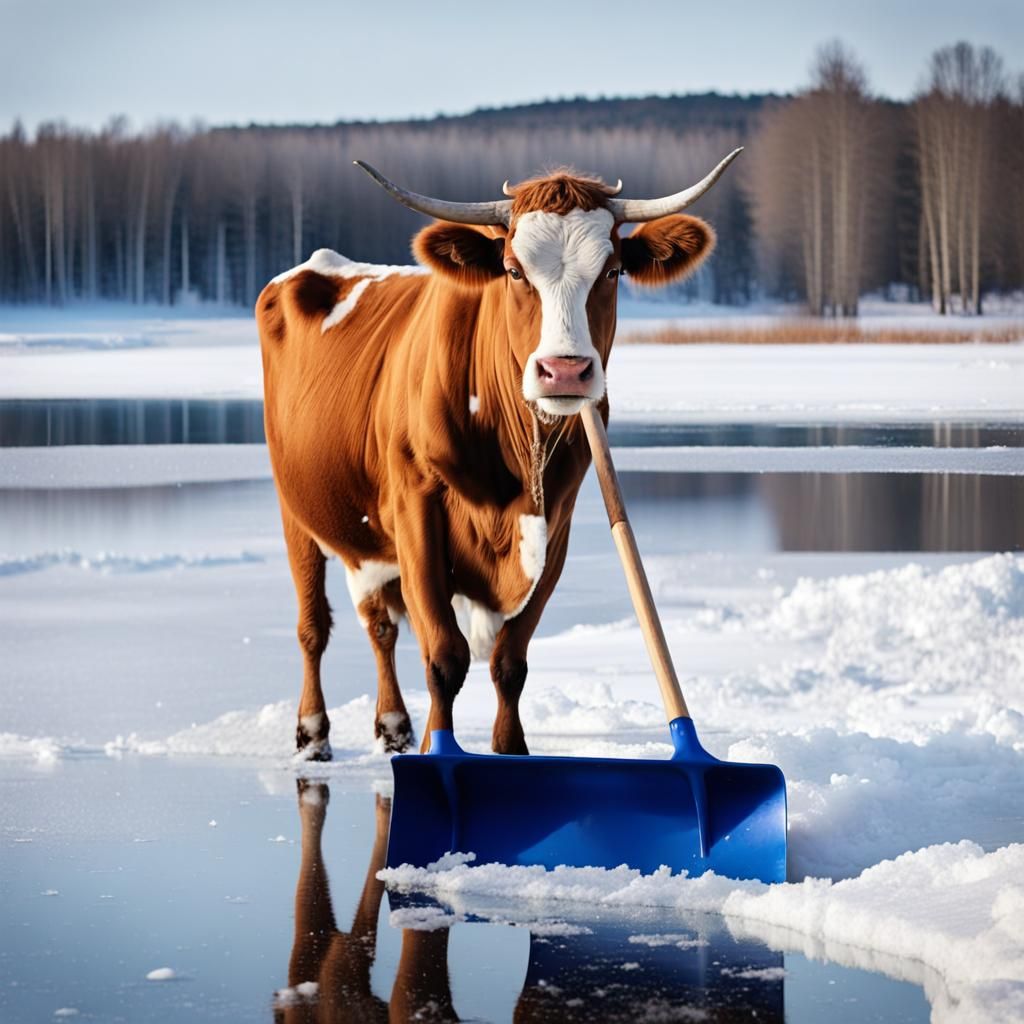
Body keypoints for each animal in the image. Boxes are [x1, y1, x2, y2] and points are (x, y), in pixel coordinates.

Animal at [256, 151, 740, 760]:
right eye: (513, 271)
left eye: (612, 272)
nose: (564, 371)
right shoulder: (416, 513)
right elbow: (444, 655)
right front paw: (435, 753)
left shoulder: (558, 520)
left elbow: (510, 660)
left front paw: (509, 752)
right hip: (295, 508)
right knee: (314, 626)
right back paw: (314, 732)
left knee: (378, 624)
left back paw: (393, 724)